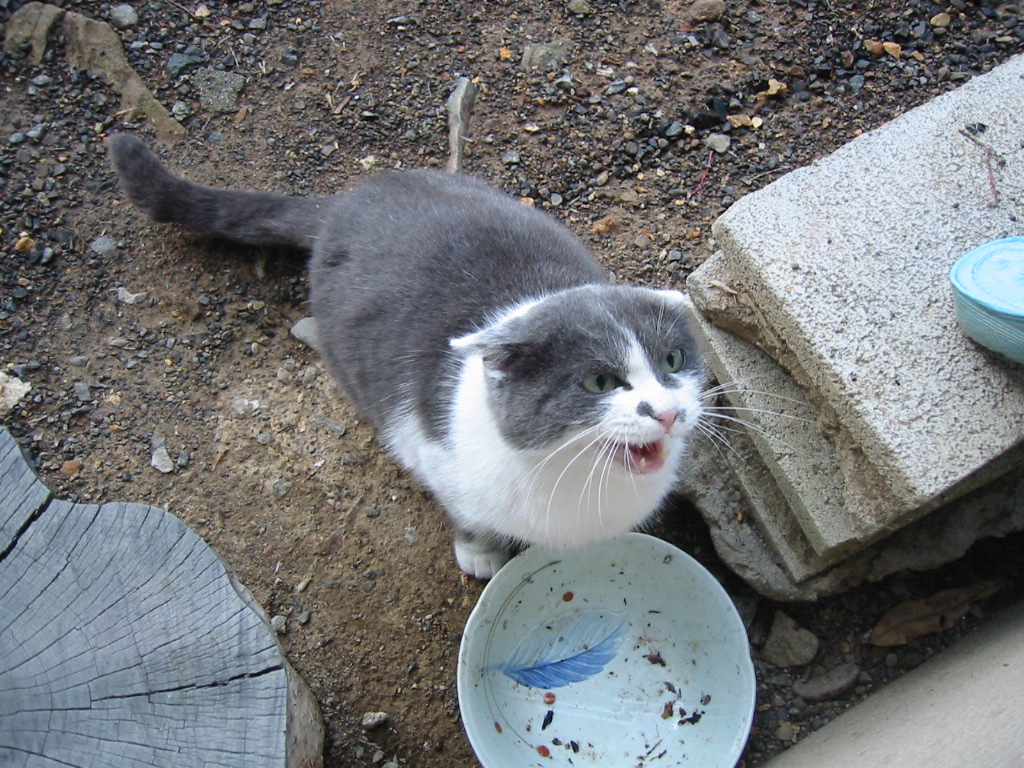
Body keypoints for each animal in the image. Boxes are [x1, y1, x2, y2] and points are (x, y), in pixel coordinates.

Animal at [108, 134, 707, 579]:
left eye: (673, 361)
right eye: (600, 383)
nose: (668, 412)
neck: (579, 487)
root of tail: (344, 202)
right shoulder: (436, 459)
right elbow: (466, 516)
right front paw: (480, 552)